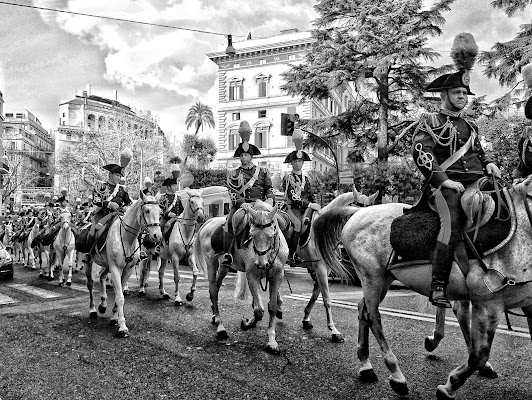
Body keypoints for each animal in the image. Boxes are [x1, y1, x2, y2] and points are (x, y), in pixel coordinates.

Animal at [83, 191, 161, 338]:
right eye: (147, 210)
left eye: (160, 211)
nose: (157, 236)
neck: (125, 237)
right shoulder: (115, 269)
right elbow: (120, 297)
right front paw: (123, 327)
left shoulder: (127, 269)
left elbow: (119, 294)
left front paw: (115, 318)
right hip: (89, 263)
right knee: (90, 285)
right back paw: (93, 309)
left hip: (106, 265)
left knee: (102, 277)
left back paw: (103, 305)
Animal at [193, 200, 288, 354]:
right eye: (251, 234)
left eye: (271, 234)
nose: (261, 264)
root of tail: (209, 221)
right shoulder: (252, 275)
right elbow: (259, 310)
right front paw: (248, 323)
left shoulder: (277, 275)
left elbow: (271, 307)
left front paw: (272, 341)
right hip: (211, 263)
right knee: (213, 291)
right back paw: (220, 326)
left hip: (224, 266)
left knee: (216, 287)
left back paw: (214, 315)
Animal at [300, 187, 378, 340]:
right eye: (358, 206)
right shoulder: (320, 268)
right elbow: (327, 299)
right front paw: (334, 330)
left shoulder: (324, 269)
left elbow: (315, 296)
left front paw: (306, 318)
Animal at [314, 176, 532, 400]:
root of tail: (356, 213)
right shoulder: (488, 304)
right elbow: (478, 354)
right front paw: (449, 386)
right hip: (372, 277)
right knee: (372, 316)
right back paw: (396, 375)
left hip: (382, 279)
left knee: (362, 309)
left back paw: (366, 365)